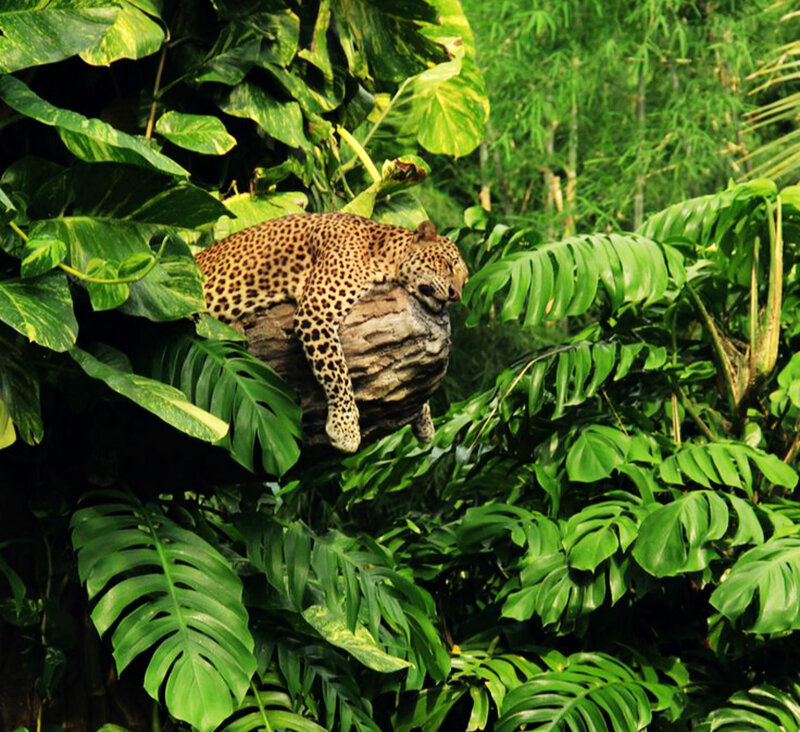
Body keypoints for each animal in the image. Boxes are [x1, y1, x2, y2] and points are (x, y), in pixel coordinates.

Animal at [195, 212, 469, 453]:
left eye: (465, 282)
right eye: (447, 265)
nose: (456, 295)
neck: (380, 251)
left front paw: (424, 420)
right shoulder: (315, 311)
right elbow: (336, 370)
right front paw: (345, 428)